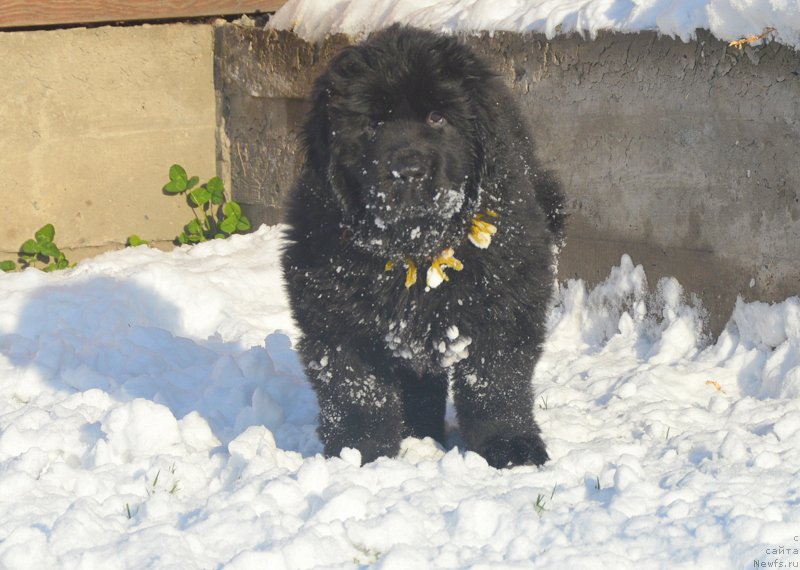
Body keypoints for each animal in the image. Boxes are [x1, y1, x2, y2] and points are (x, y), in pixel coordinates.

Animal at [282, 24, 564, 466]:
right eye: (372, 123)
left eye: (437, 117)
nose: (409, 170)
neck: (416, 249)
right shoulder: (334, 312)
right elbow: (358, 389)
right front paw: (359, 453)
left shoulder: (505, 297)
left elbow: (494, 381)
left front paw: (511, 446)